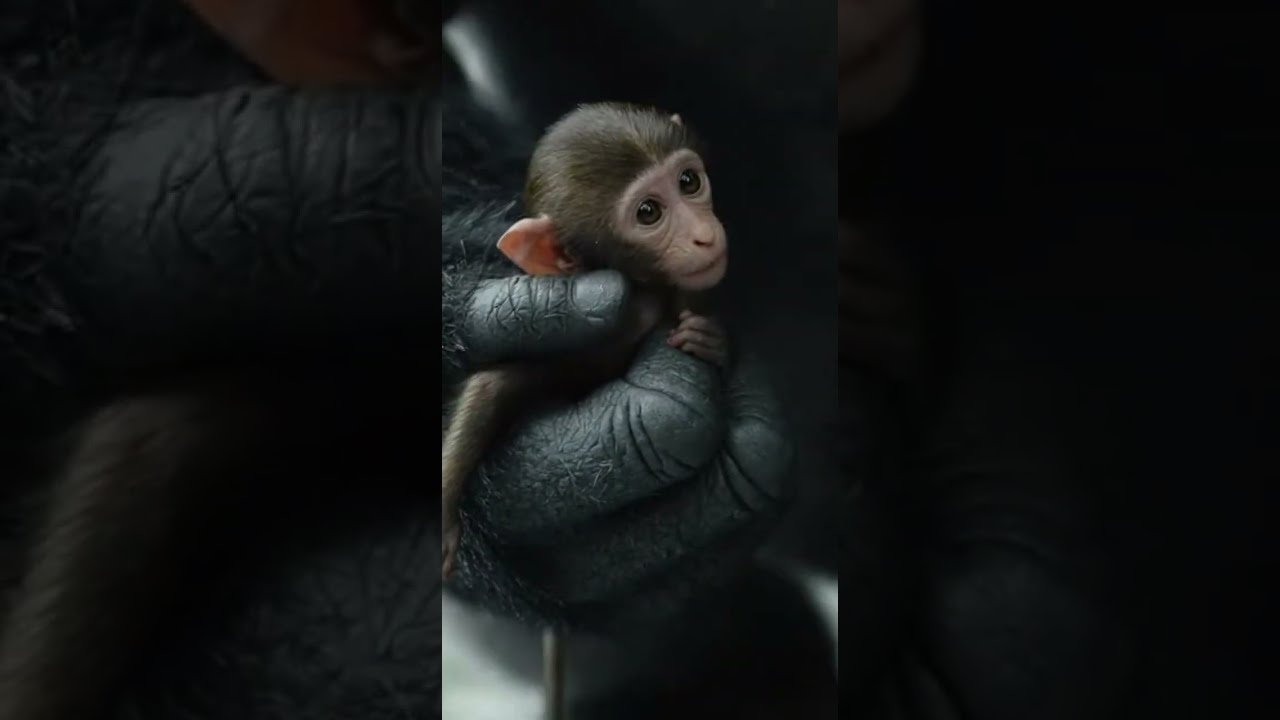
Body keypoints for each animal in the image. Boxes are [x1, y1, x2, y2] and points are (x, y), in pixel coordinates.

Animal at [438, 103, 730, 720]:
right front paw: (448, 512)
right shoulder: (590, 331)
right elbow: (492, 388)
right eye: (648, 212)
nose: (703, 235)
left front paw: (713, 341)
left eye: (689, 181)